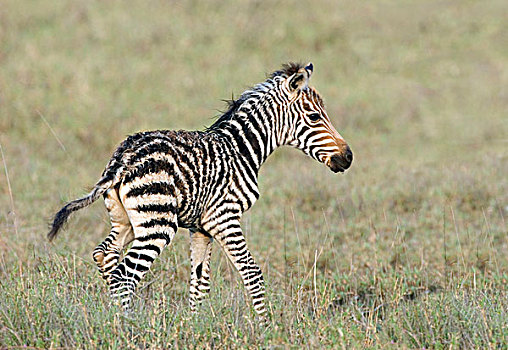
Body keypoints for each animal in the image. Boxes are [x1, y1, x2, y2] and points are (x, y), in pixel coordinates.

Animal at [48, 63, 354, 322]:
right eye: (314, 117)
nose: (348, 157)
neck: (241, 150)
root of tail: (122, 158)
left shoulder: (201, 228)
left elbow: (200, 282)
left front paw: (194, 325)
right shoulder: (225, 218)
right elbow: (252, 272)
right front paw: (266, 327)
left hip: (125, 220)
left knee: (105, 256)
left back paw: (119, 319)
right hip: (157, 224)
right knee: (125, 276)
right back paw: (128, 326)